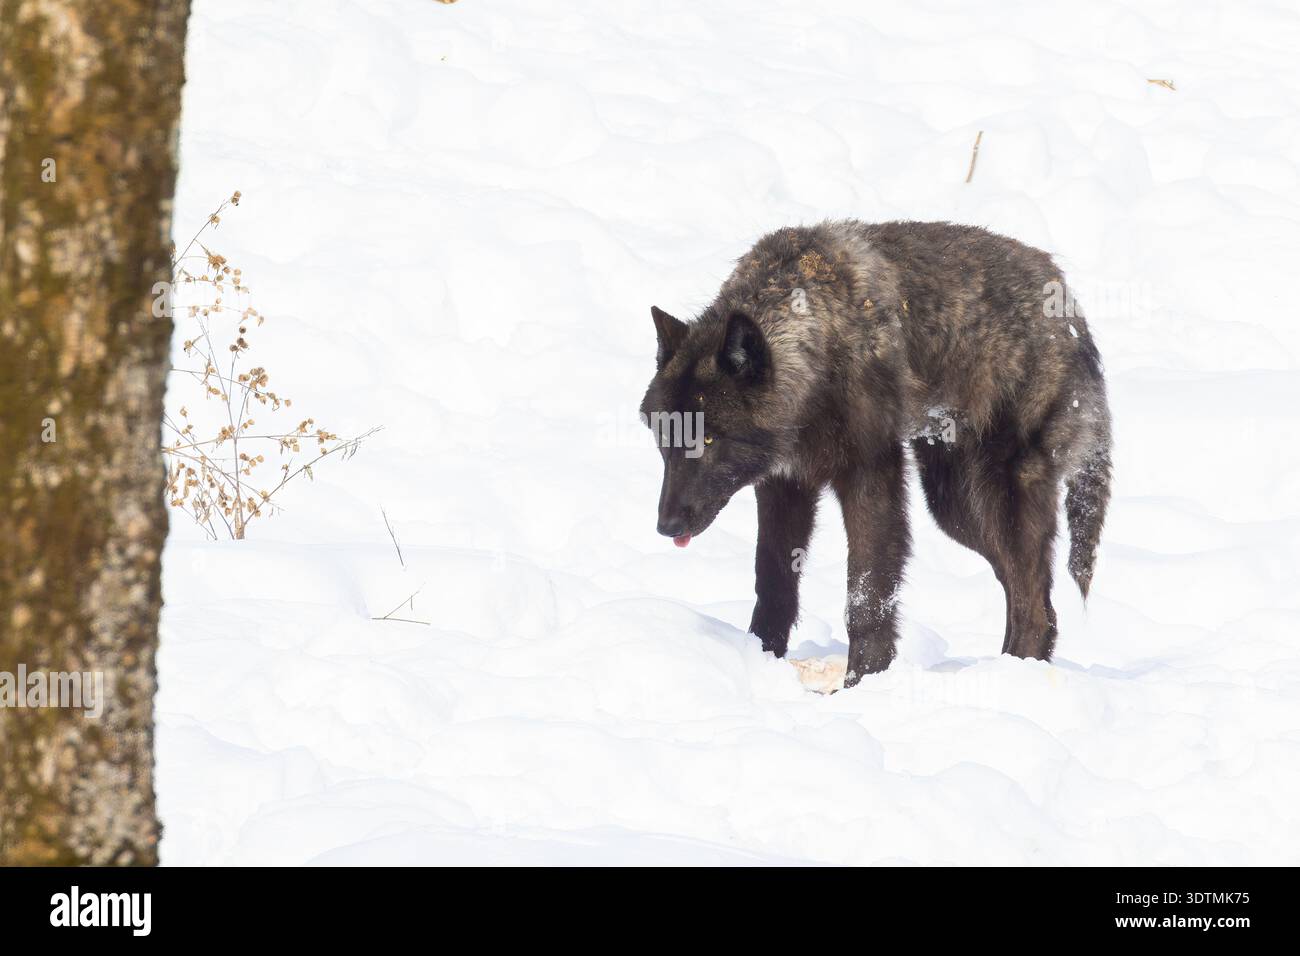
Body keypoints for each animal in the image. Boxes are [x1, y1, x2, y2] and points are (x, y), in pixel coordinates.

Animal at [640, 221, 1111, 686]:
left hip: (996, 500)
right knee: (1033, 601)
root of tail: (1064, 297)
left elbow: (866, 597)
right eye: (666, 438)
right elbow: (773, 583)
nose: (666, 526)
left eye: (708, 440)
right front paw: (761, 660)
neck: (817, 340)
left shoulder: (870, 476)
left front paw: (863, 684)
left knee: (1034, 608)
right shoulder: (784, 485)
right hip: (956, 509)